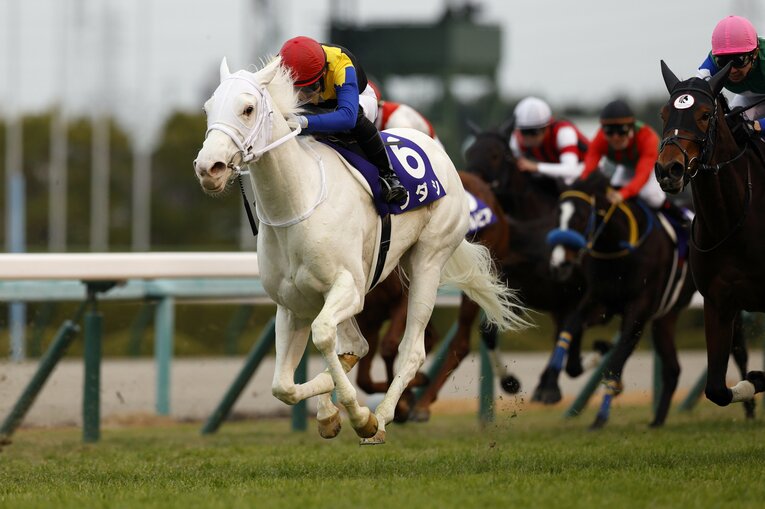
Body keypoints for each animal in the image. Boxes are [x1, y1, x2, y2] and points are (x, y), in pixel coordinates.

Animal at [193, 57, 527, 444]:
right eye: (208, 108)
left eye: (247, 109)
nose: (209, 168)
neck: (296, 203)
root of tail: (440, 153)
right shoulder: (294, 304)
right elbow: (284, 386)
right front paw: (328, 414)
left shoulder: (349, 289)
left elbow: (326, 337)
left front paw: (360, 415)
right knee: (357, 345)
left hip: (428, 259)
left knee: (412, 350)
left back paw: (382, 417)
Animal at [547, 170, 698, 428]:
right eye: (557, 215)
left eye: (580, 217)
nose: (558, 266)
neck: (618, 246)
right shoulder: (601, 300)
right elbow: (572, 326)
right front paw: (552, 379)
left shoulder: (638, 310)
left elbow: (617, 359)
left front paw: (601, 416)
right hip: (666, 317)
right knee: (672, 369)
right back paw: (657, 422)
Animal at [654, 61, 765, 408]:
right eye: (663, 113)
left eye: (705, 114)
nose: (669, 169)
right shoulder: (718, 303)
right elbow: (716, 389)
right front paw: (753, 380)